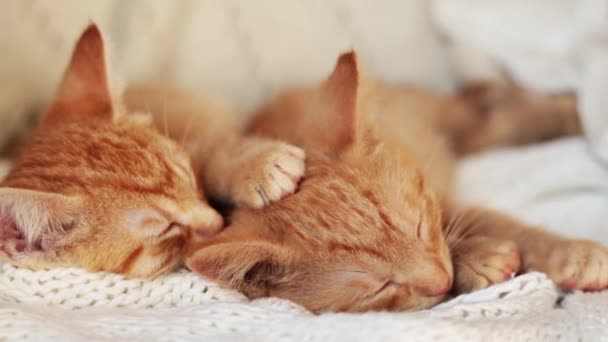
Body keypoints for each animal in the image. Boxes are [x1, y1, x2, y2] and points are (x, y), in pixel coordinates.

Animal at [186, 52, 608, 312]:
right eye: (380, 286)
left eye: (419, 227)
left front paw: (574, 254)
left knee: (494, 114)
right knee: (492, 122)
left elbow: (499, 223)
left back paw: (566, 111)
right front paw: (478, 259)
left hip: (444, 116)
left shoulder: (442, 202)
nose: (441, 280)